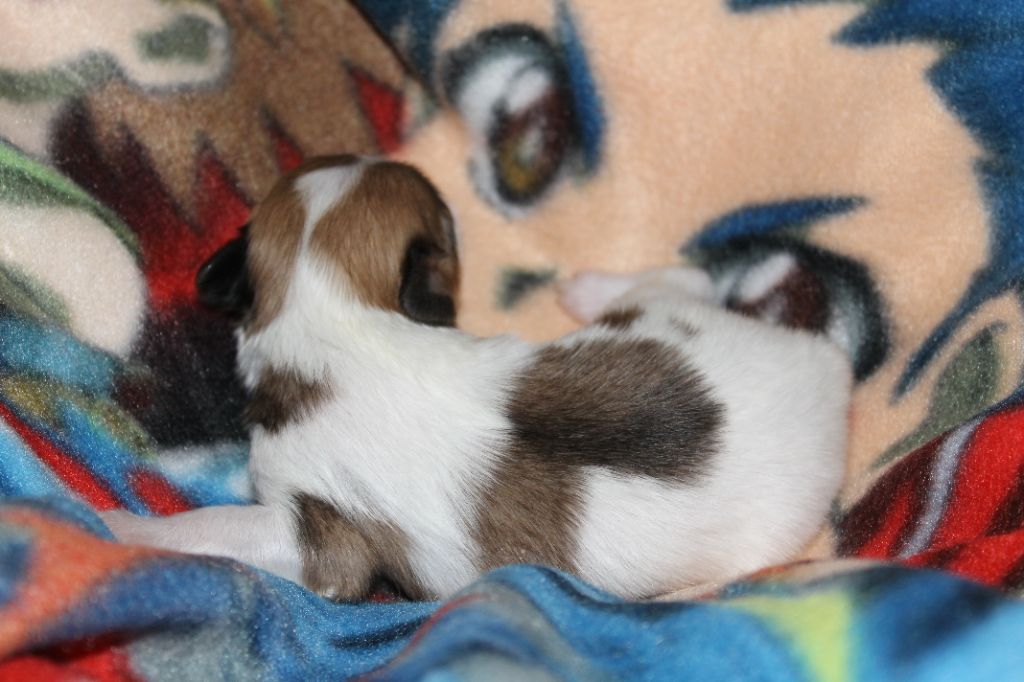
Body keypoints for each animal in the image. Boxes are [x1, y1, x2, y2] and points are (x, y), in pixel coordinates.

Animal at [101, 155, 851, 600]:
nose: (416, 164)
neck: (332, 306)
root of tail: (827, 368)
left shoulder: (316, 537)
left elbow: (218, 525)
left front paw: (122, 526)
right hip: (664, 322)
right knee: (686, 280)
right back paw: (590, 288)